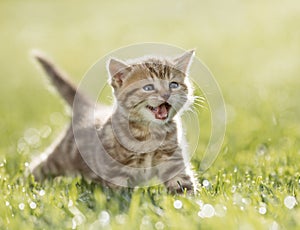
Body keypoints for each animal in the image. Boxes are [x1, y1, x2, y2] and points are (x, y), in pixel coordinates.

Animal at [29, 50, 197, 194]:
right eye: (148, 87)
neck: (150, 132)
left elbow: (182, 183)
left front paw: (190, 203)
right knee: (40, 166)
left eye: (173, 85)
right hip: (62, 156)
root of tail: (90, 109)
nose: (166, 95)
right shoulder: (116, 170)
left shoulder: (172, 158)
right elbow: (119, 193)